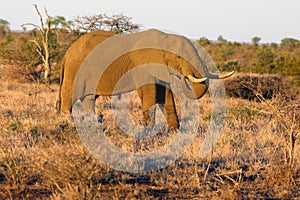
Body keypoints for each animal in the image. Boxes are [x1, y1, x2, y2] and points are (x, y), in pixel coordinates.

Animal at [56, 28, 234, 129]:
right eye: (178, 57)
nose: (184, 76)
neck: (164, 37)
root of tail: (66, 54)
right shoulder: (141, 65)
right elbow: (150, 94)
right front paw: (148, 131)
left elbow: (166, 96)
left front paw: (174, 131)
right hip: (75, 69)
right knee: (70, 96)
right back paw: (69, 124)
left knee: (89, 99)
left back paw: (94, 124)